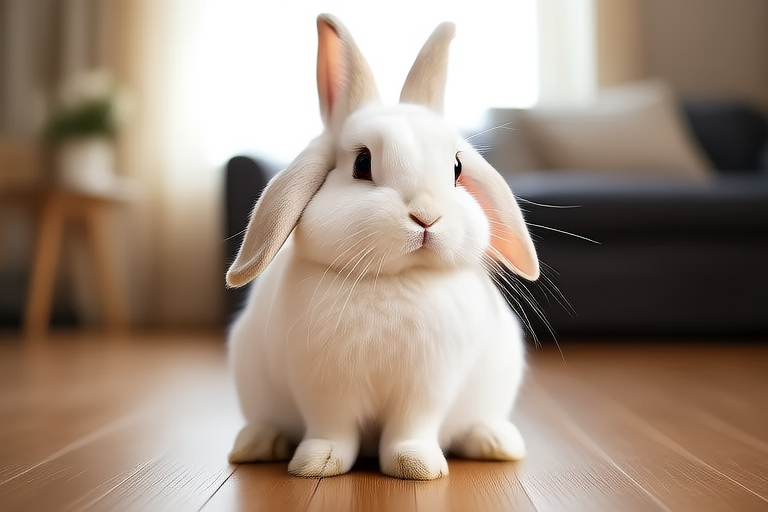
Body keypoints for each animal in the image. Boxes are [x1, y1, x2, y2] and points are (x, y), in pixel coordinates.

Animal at [226, 13, 540, 480]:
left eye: (457, 169)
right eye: (362, 163)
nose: (426, 216)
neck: (393, 280)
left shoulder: (427, 387)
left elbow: (411, 428)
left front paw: (417, 466)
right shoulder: (324, 385)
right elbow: (332, 429)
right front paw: (317, 464)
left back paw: (496, 442)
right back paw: (256, 444)